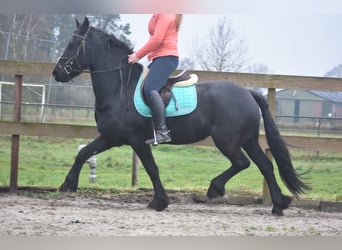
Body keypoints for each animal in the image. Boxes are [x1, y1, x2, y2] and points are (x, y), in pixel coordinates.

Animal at [52, 17, 308, 216]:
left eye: (72, 43)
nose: (57, 73)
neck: (119, 88)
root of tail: (248, 93)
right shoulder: (111, 137)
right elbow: (84, 153)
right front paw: (67, 185)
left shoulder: (135, 140)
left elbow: (151, 168)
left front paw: (159, 202)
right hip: (248, 140)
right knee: (265, 165)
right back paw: (278, 205)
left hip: (228, 141)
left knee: (242, 163)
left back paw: (215, 189)